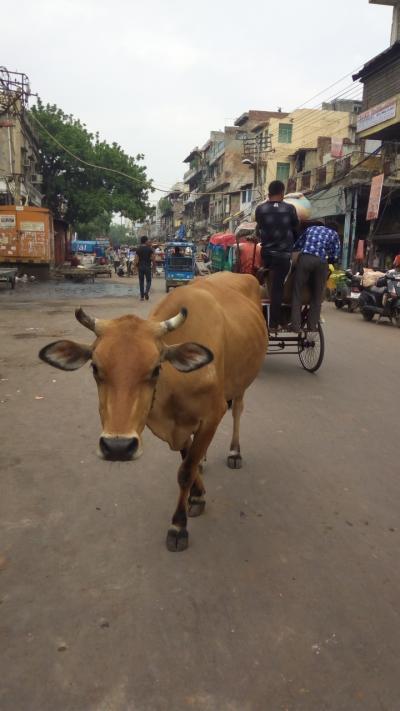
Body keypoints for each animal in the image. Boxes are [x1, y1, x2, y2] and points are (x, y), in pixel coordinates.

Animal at [39, 270, 268, 552]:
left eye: (156, 369)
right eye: (95, 368)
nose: (117, 447)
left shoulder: (212, 414)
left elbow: (185, 471)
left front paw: (179, 526)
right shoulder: (179, 426)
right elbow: (187, 460)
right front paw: (197, 495)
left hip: (241, 384)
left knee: (237, 411)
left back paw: (235, 452)